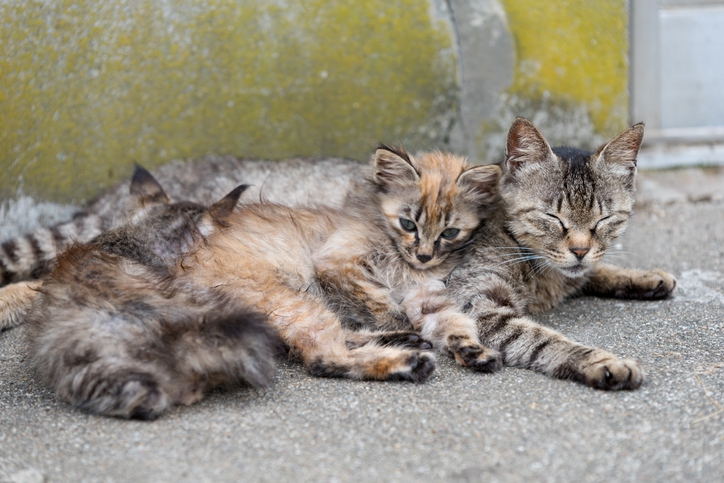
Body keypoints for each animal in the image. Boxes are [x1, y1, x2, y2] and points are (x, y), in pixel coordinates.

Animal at [412, 119, 680, 392]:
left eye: (603, 219)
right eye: (553, 217)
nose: (580, 250)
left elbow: (592, 271)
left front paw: (644, 277)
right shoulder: (476, 307)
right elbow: (543, 339)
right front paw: (602, 361)